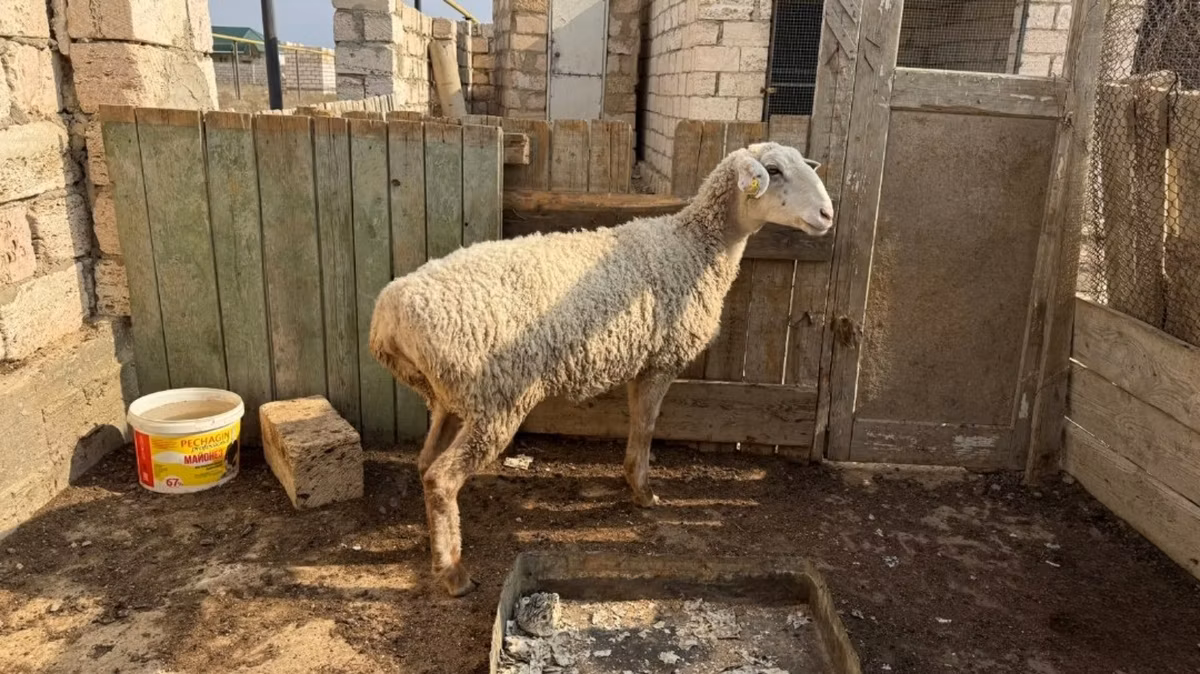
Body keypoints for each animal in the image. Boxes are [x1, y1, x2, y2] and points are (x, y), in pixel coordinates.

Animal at [369, 141, 834, 596]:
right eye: (772, 170)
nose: (828, 215)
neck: (692, 245)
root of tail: (389, 313)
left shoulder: (642, 361)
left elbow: (637, 424)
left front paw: (632, 480)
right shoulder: (662, 361)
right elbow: (646, 426)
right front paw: (643, 492)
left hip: (450, 396)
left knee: (425, 462)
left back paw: (435, 546)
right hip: (496, 399)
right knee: (441, 478)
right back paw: (454, 574)